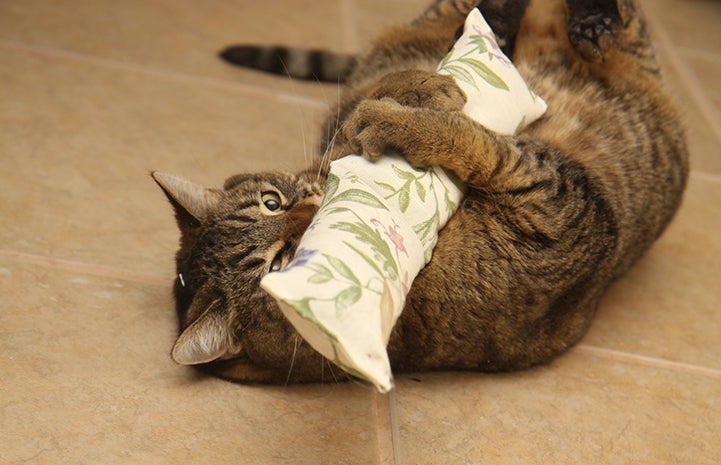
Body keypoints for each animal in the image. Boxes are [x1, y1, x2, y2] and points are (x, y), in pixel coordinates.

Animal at [150, 0, 688, 384]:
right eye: (279, 263)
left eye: (271, 202)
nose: (308, 209)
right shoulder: (560, 209)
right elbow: (482, 147)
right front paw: (414, 119)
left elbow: (365, 106)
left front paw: (415, 92)